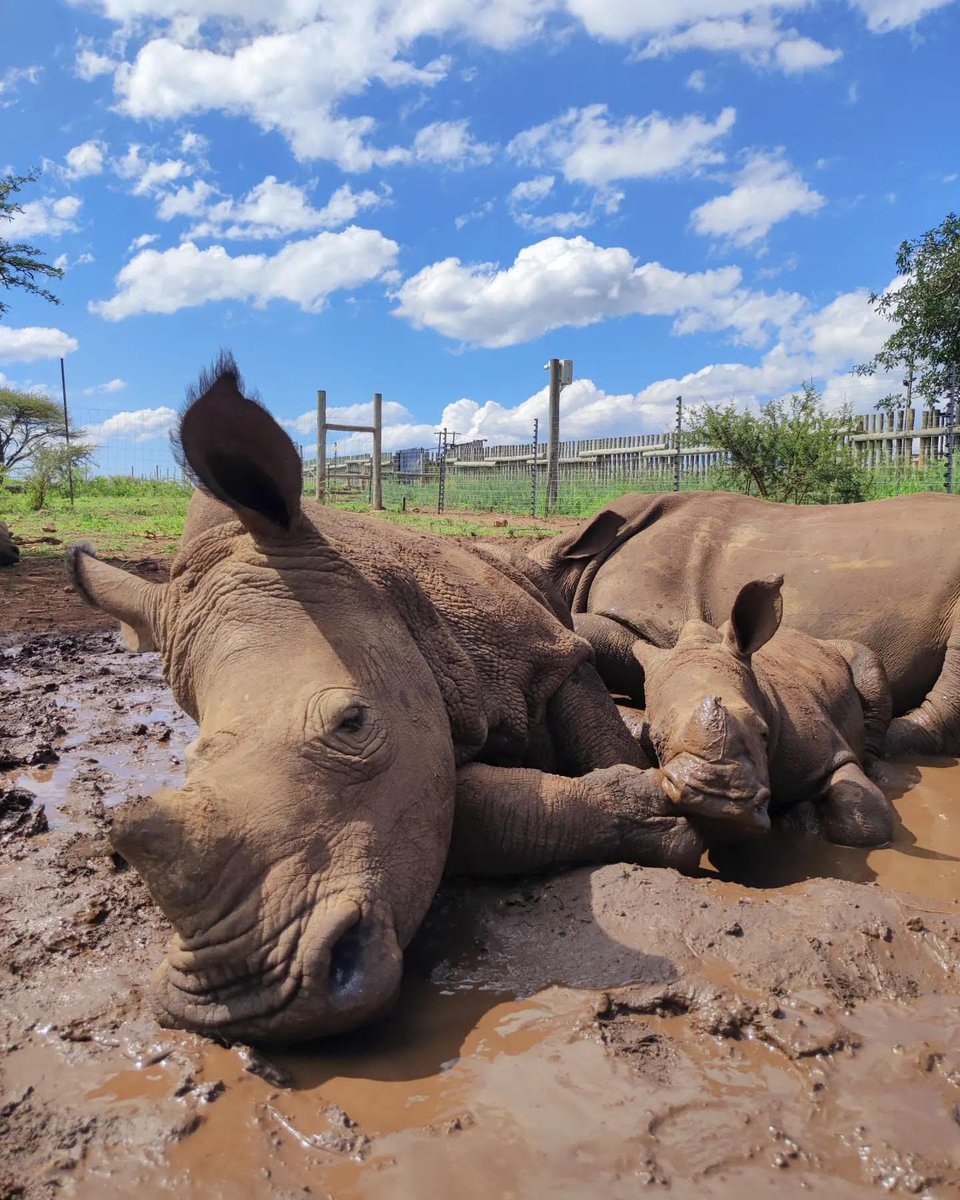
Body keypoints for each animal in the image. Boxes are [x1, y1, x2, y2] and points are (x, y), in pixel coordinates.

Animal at [66, 358, 700, 1045]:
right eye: (189, 762)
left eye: (353, 723)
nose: (239, 997)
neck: (383, 591)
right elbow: (475, 815)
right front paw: (653, 806)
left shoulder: (552, 654)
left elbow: (590, 727)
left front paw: (662, 795)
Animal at [632, 574, 895, 847]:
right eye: (656, 742)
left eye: (763, 733)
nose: (717, 801)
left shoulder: (827, 753)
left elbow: (864, 818)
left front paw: (800, 820)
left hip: (844, 652)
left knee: (867, 663)